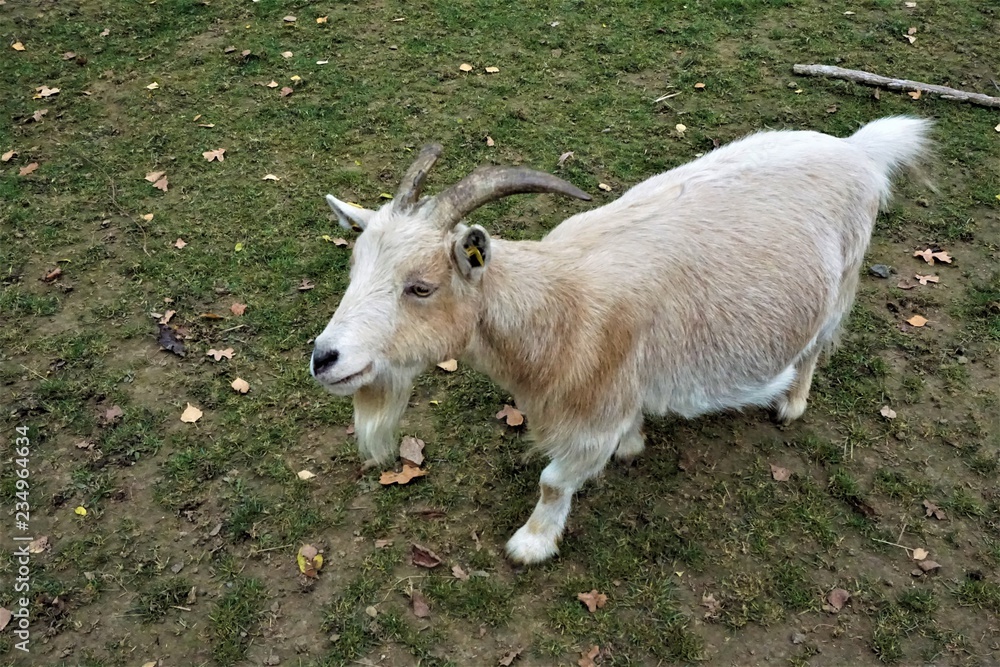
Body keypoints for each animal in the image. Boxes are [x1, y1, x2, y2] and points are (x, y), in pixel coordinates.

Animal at [311, 116, 931, 564]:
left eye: (421, 286)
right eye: (355, 268)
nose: (324, 358)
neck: (556, 302)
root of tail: (858, 150)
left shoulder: (592, 415)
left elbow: (553, 481)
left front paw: (531, 544)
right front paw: (633, 445)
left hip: (842, 281)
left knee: (814, 348)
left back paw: (792, 405)